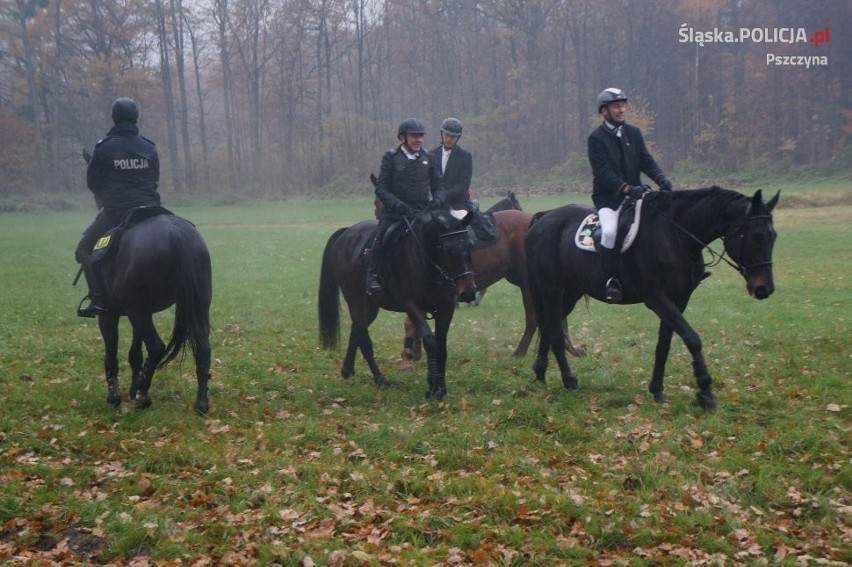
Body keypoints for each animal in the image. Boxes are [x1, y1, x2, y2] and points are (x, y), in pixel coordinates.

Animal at [86, 211, 213, 414]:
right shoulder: (139, 314)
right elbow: (135, 354)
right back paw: (201, 403)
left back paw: (143, 395)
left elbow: (111, 351)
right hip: (197, 306)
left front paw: (115, 395)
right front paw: (131, 389)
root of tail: (176, 233)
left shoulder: (109, 314)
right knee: (203, 349)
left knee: (156, 346)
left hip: (137, 311)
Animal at [320, 205, 480, 400]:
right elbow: (430, 341)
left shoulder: (446, 309)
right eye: (448, 248)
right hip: (355, 300)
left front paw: (440, 387)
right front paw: (434, 386)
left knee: (356, 331)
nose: (468, 292)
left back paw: (347, 371)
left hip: (370, 306)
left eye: (470, 245)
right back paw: (380, 380)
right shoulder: (413, 306)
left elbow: (441, 346)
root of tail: (347, 233)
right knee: (364, 340)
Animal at [528, 189, 784, 410]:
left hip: (569, 293)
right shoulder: (657, 298)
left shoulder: (679, 299)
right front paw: (705, 393)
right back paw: (568, 380)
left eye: (773, 236)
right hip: (552, 290)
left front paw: (657, 390)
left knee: (550, 327)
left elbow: (664, 345)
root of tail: (543, 218)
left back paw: (540, 374)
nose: (764, 288)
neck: (676, 236)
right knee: (553, 331)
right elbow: (692, 338)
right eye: (755, 236)